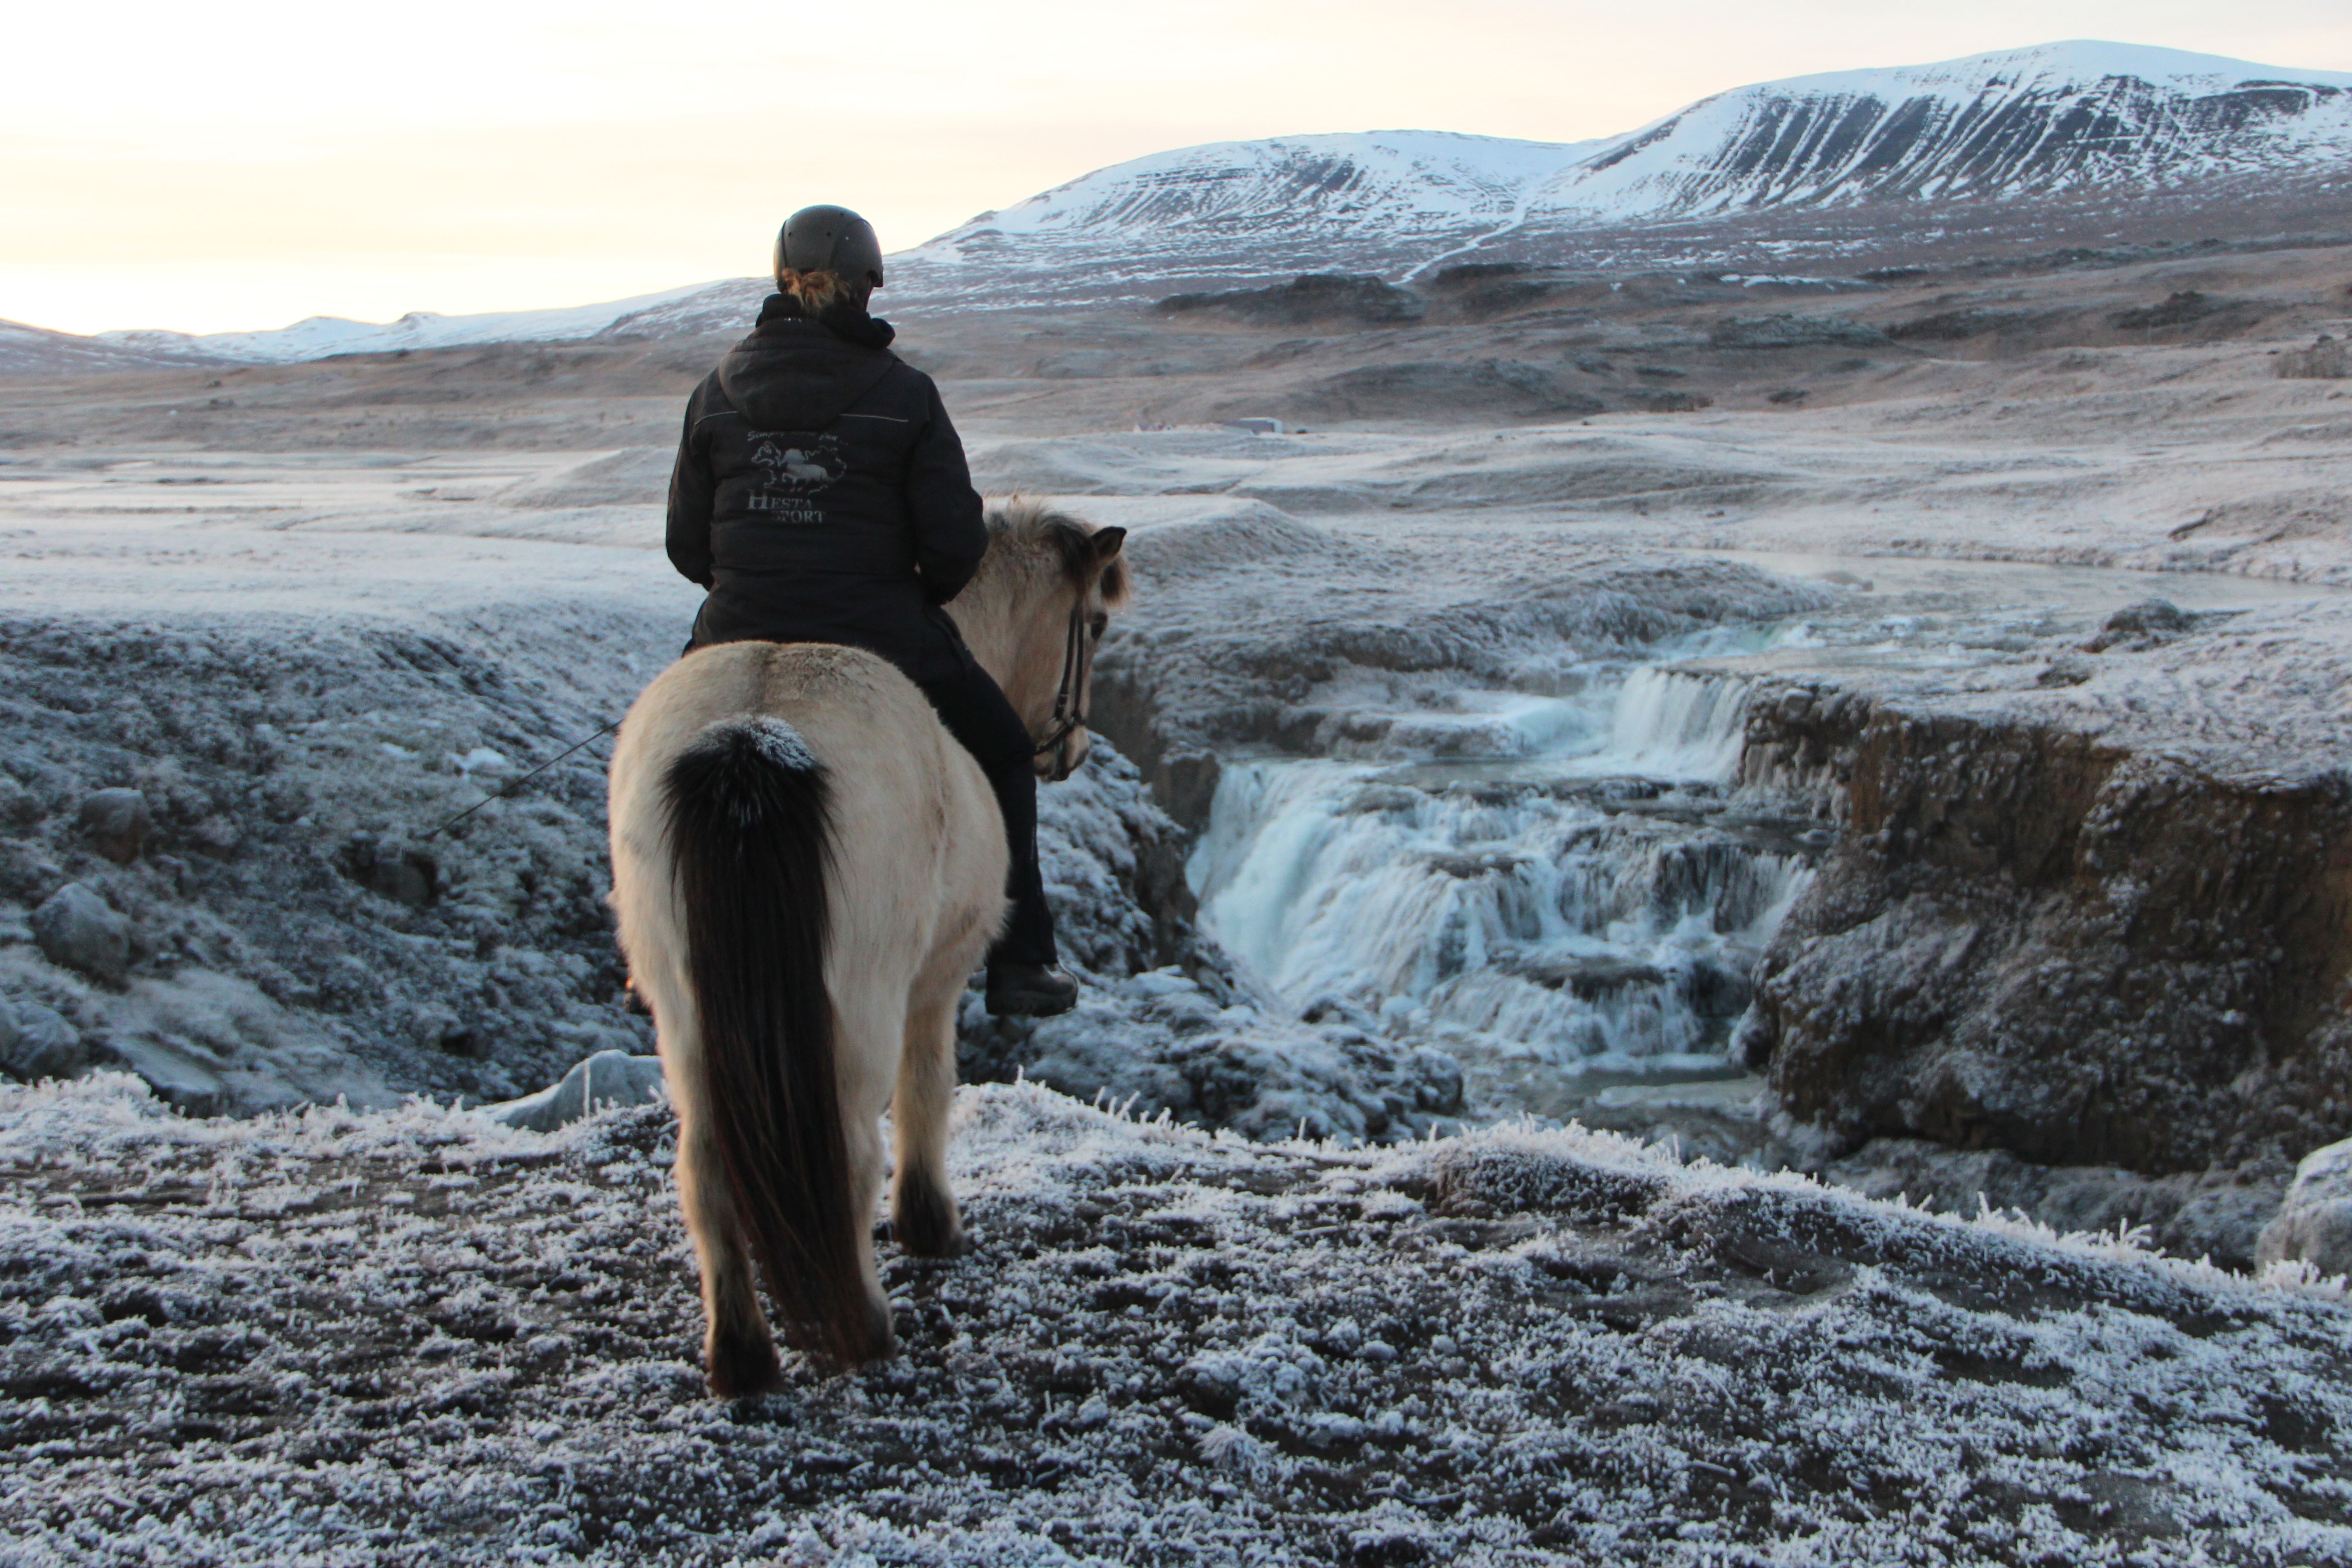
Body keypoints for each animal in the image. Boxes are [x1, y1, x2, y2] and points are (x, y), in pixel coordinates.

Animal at [606, 501, 1128, 1393]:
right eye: (1091, 624)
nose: (1072, 751)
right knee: (848, 1153)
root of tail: (754, 736)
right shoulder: (936, 979)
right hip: (856, 1002)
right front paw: (928, 1223)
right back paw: (867, 1328)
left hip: (684, 1008)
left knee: (703, 1167)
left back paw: (741, 1357)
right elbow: (927, 1089)